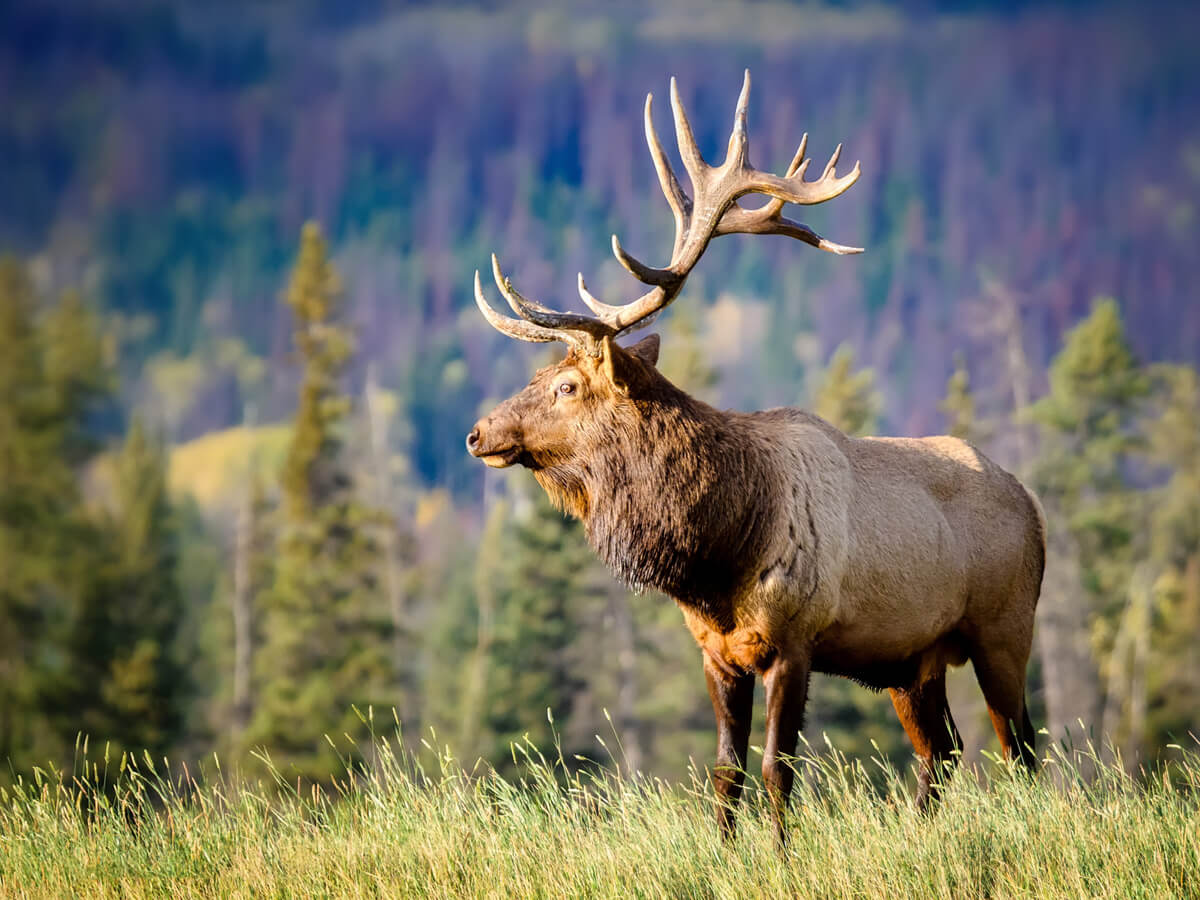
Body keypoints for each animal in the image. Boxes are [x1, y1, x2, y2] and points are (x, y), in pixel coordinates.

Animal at [466, 71, 1044, 844]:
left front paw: (780, 853)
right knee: (943, 750)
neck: (720, 553)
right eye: (539, 374)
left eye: (565, 385)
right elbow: (724, 770)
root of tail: (1034, 508)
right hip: (912, 660)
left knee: (1023, 749)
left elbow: (777, 767)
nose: (477, 433)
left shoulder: (797, 638)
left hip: (1004, 628)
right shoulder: (718, 651)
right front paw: (724, 848)